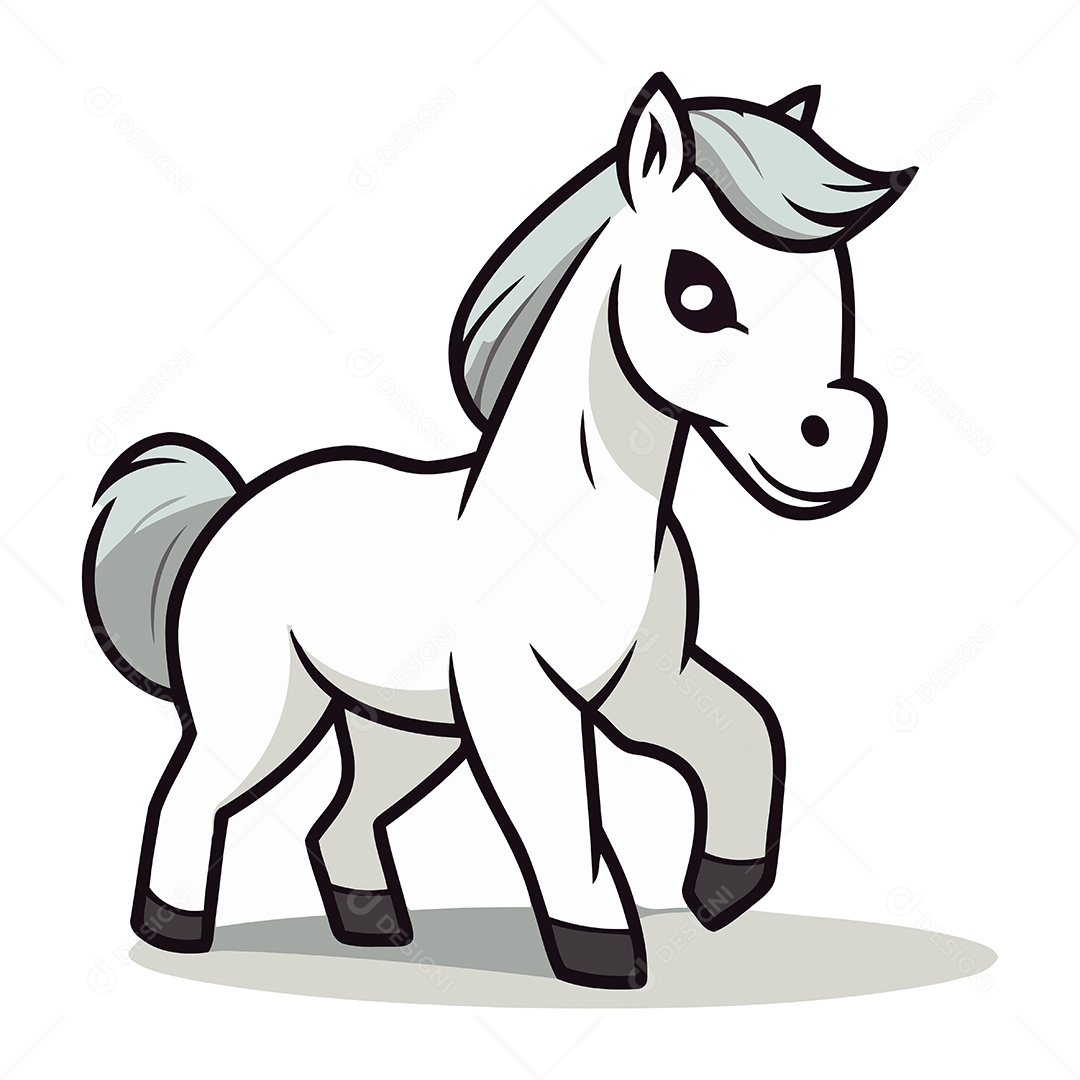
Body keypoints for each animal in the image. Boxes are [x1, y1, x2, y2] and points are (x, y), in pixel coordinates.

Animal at [84, 72, 916, 990]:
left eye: (833, 286)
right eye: (696, 293)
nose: (837, 442)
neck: (575, 524)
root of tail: (233, 507)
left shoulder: (643, 684)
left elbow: (749, 736)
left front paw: (721, 890)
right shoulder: (522, 698)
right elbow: (564, 822)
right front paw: (604, 951)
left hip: (402, 727)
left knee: (340, 819)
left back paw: (377, 926)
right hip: (265, 712)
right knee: (190, 798)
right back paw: (174, 930)